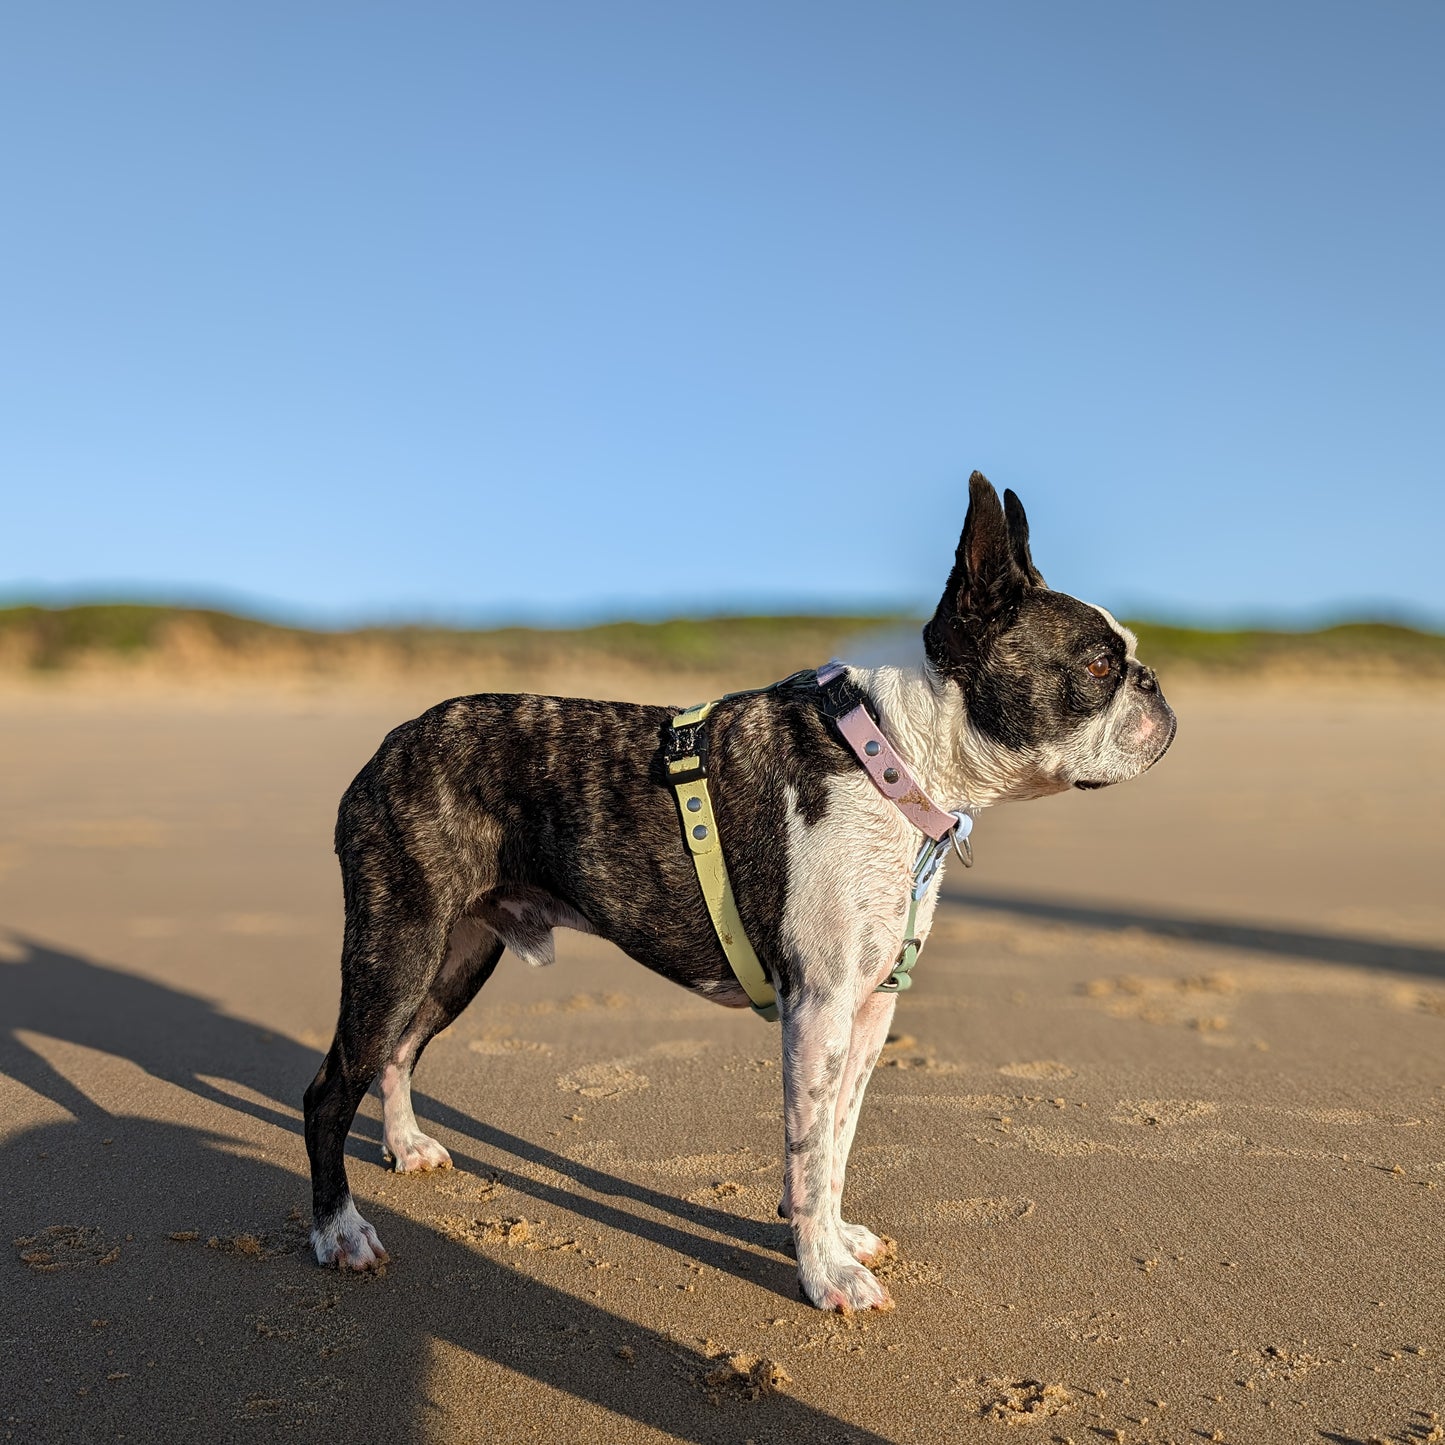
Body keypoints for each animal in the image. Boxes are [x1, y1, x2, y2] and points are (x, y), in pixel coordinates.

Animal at [302, 471, 1173, 1312]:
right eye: (1099, 666)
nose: (1156, 688)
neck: (891, 755)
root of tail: (390, 744)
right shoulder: (818, 1008)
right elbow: (807, 1146)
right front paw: (823, 1274)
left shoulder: (868, 1008)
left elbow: (836, 1140)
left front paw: (833, 1237)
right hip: (399, 944)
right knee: (330, 1088)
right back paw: (339, 1230)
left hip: (457, 955)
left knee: (397, 1052)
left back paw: (405, 1146)